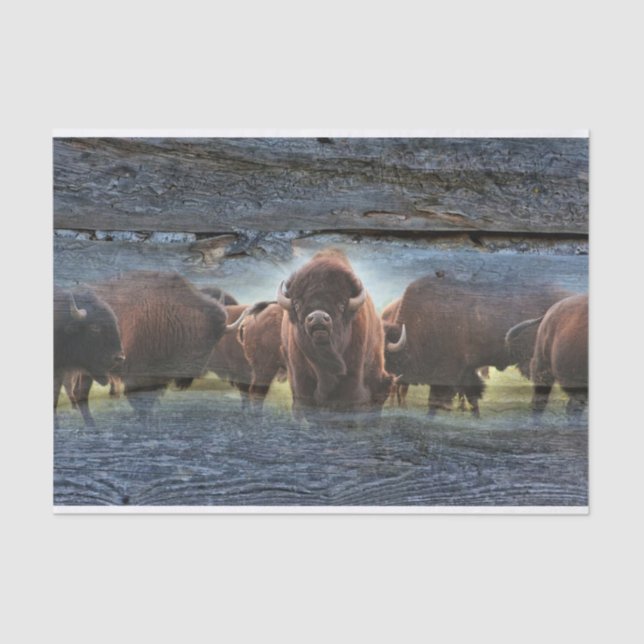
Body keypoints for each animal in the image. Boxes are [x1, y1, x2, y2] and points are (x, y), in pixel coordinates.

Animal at [67, 271, 245, 426]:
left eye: (214, 342)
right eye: (199, 339)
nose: (188, 377)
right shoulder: (136, 375)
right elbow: (140, 404)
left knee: (80, 393)